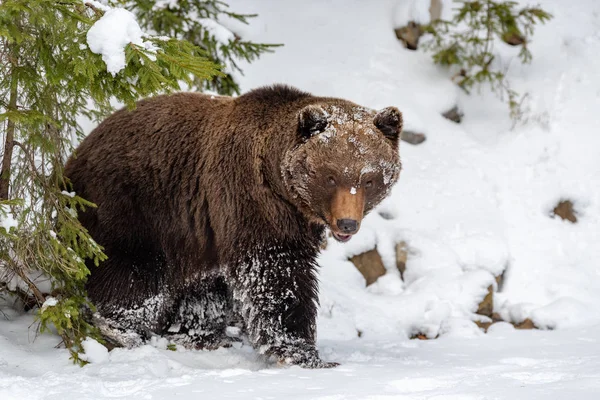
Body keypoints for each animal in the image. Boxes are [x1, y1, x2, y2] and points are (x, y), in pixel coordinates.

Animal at [64, 84, 404, 368]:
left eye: (369, 179)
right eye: (330, 176)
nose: (347, 223)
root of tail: (76, 153)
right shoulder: (251, 204)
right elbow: (277, 279)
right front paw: (304, 353)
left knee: (198, 286)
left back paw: (202, 335)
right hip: (128, 203)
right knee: (132, 271)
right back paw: (123, 330)